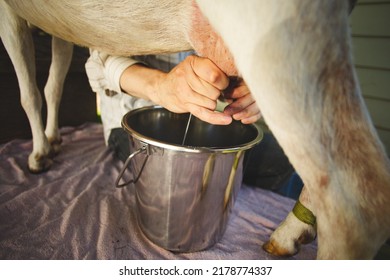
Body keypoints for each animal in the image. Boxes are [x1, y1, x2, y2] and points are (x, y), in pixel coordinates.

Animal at [0, 0, 390, 260]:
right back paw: (288, 234)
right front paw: (52, 140)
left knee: (357, 201)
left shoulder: (11, 12)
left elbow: (30, 92)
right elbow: (55, 83)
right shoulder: (59, 31)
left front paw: (39, 154)